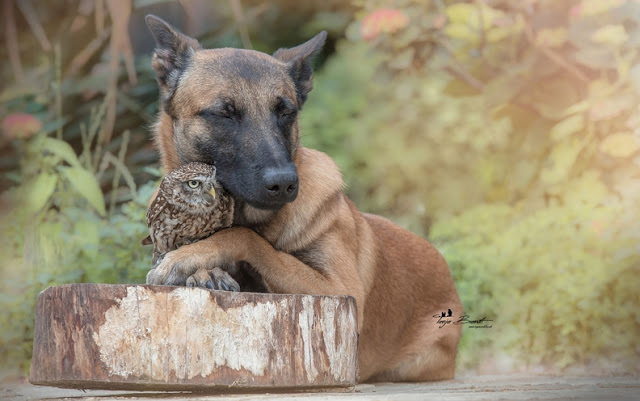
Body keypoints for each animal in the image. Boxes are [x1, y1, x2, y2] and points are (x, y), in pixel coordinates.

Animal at [144, 15, 464, 382]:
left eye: (286, 112)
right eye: (224, 113)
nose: (283, 183)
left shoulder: (341, 291)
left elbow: (247, 238)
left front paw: (190, 258)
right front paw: (203, 271)